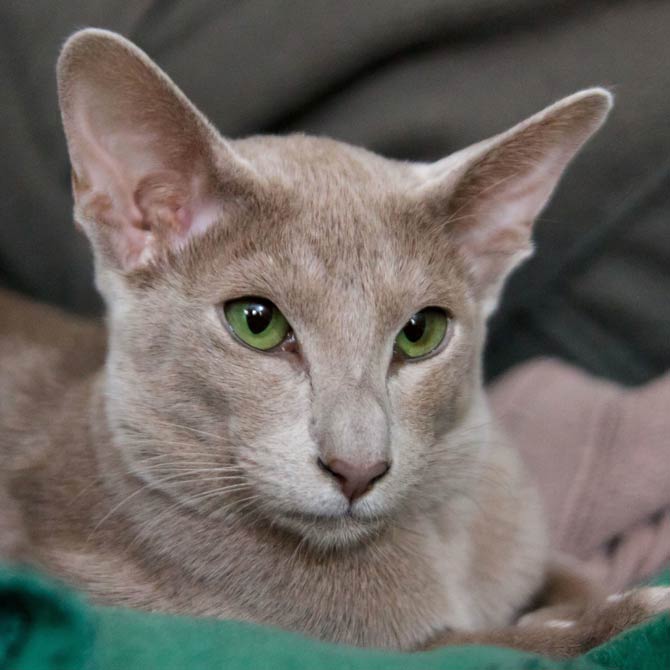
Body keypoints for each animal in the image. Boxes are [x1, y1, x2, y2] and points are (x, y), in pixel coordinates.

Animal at [0, 28, 668, 660]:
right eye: (257, 322)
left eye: (421, 332)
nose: (358, 467)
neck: (437, 551)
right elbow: (476, 642)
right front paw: (613, 616)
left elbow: (568, 573)